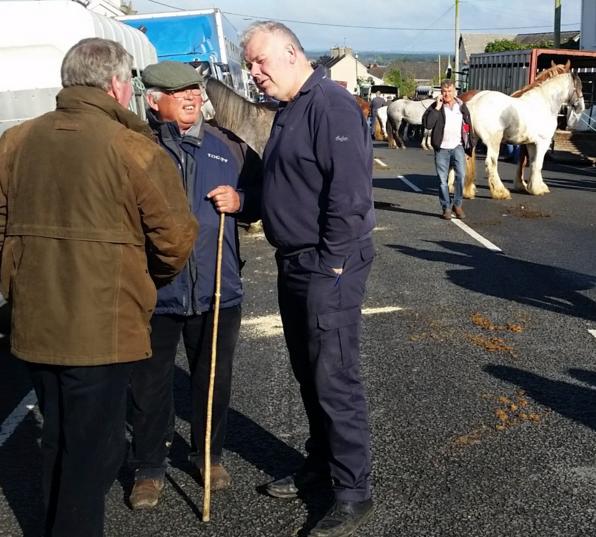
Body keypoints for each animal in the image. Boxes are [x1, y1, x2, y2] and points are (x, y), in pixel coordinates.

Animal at [464, 61, 584, 199]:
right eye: (579, 85)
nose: (581, 107)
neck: (545, 103)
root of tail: (473, 103)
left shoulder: (531, 144)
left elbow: (532, 163)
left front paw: (532, 186)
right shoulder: (543, 143)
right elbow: (538, 164)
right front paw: (538, 189)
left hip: (472, 140)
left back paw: (468, 191)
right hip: (494, 142)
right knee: (491, 163)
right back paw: (501, 192)